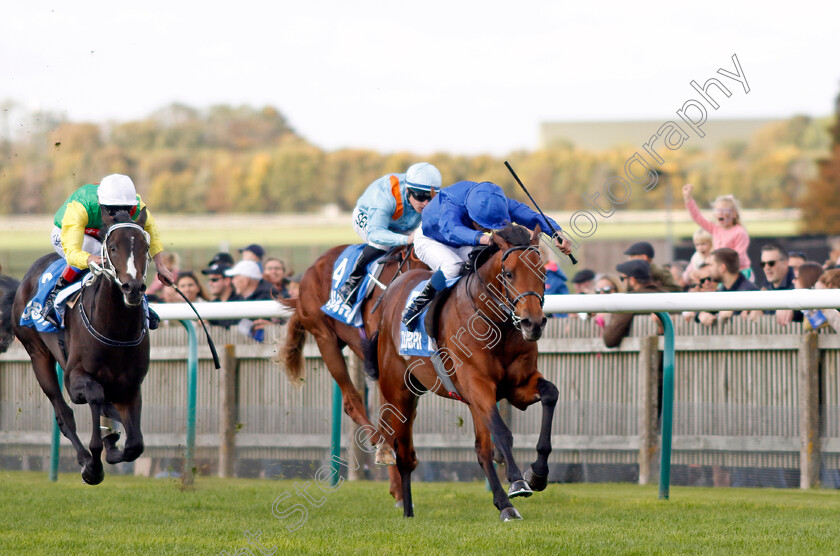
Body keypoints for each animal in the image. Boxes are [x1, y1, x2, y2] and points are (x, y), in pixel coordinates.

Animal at [9, 211, 153, 484]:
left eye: (146, 247)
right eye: (112, 247)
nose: (133, 288)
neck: (115, 329)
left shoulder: (131, 386)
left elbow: (135, 444)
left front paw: (114, 447)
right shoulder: (74, 378)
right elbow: (94, 396)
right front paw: (94, 466)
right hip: (37, 353)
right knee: (64, 414)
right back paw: (86, 459)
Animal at [368, 223, 556, 520]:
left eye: (543, 273)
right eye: (508, 273)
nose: (532, 323)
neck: (496, 325)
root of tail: (391, 292)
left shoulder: (519, 386)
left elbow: (550, 394)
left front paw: (537, 474)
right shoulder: (478, 385)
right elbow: (503, 432)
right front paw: (517, 481)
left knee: (481, 451)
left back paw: (504, 505)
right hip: (399, 393)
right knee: (406, 454)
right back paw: (407, 510)